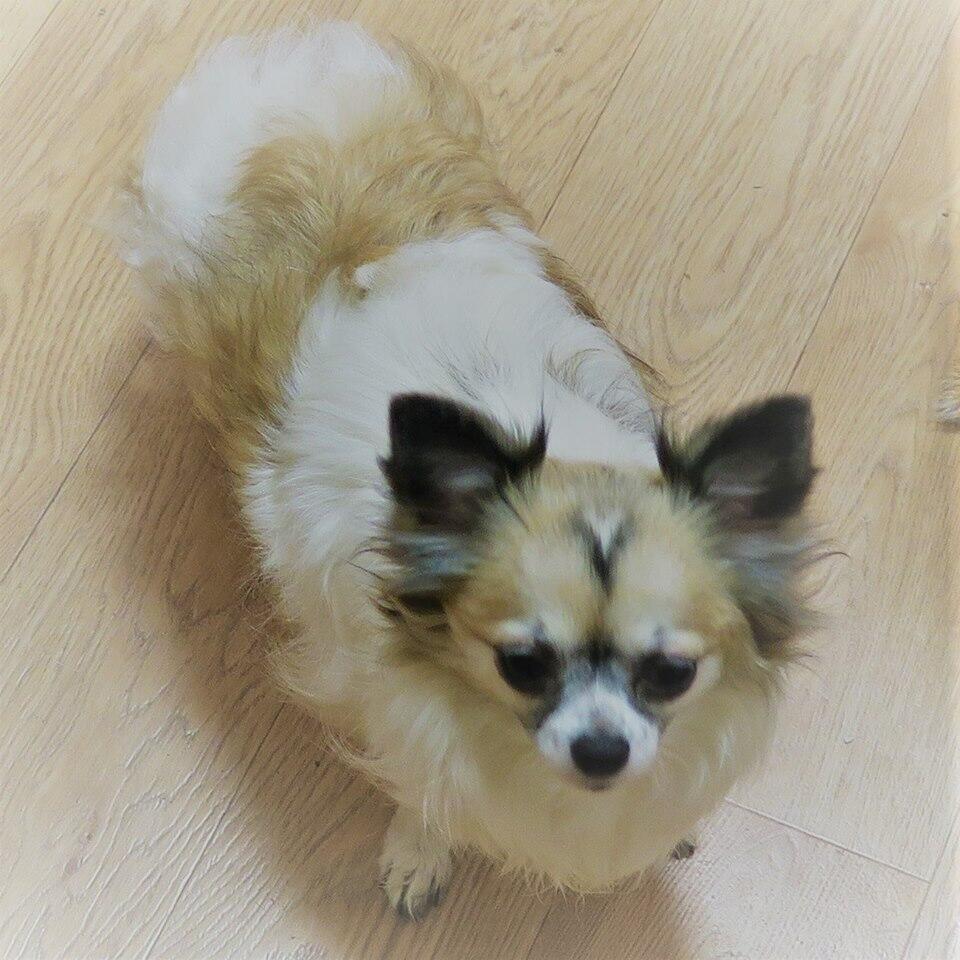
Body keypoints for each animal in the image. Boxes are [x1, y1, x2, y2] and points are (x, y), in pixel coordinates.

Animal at [117, 23, 817, 919]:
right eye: (521, 663)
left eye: (672, 673)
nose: (602, 751)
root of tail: (280, 63)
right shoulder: (390, 699)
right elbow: (425, 789)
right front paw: (418, 854)